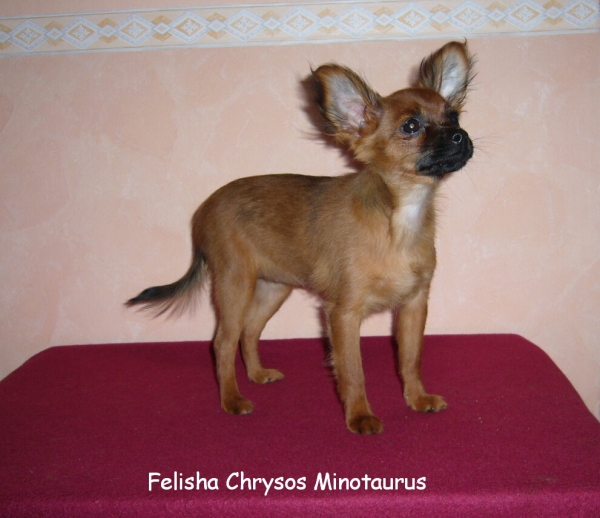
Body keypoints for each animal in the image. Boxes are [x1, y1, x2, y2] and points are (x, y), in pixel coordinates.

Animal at [127, 41, 474, 434]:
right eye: (411, 126)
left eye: (454, 117)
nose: (460, 136)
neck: (398, 218)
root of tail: (203, 211)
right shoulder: (343, 313)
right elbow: (352, 370)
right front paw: (360, 415)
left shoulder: (415, 304)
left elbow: (410, 359)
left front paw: (416, 398)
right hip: (234, 284)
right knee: (222, 342)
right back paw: (231, 399)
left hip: (273, 288)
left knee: (248, 332)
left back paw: (257, 374)